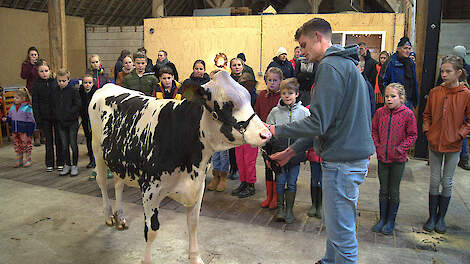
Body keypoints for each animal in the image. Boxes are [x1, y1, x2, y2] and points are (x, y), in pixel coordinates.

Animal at [88, 70, 272, 264]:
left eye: (248, 98)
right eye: (228, 104)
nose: (266, 134)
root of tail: (109, 86)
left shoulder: (198, 187)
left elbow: (193, 224)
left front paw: (195, 257)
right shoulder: (149, 190)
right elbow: (151, 231)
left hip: (118, 161)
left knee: (118, 185)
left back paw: (121, 216)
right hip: (97, 150)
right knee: (102, 182)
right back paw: (109, 216)